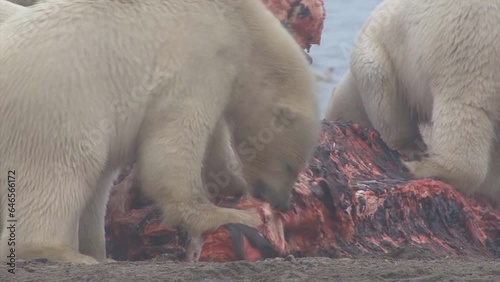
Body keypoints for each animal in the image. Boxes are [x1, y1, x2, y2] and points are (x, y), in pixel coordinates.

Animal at [0, 0, 318, 264]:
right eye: (290, 166)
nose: (281, 202)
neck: (239, 24)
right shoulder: (198, 63)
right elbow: (174, 145)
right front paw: (232, 215)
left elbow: (214, 143)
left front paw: (232, 185)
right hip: (56, 107)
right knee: (62, 171)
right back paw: (61, 252)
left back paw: (100, 253)